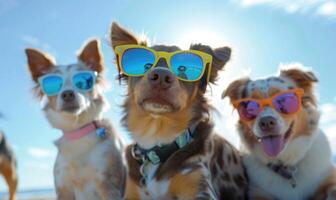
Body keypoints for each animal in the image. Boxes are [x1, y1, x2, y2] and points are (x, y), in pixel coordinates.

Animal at [24, 38, 124, 199]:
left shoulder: (109, 185)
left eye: (82, 81)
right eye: (54, 84)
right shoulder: (63, 187)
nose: (67, 94)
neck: (78, 131)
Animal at [223, 66, 336, 199]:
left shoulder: (328, 177)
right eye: (249, 106)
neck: (287, 165)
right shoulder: (257, 192)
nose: (266, 122)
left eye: (283, 100)